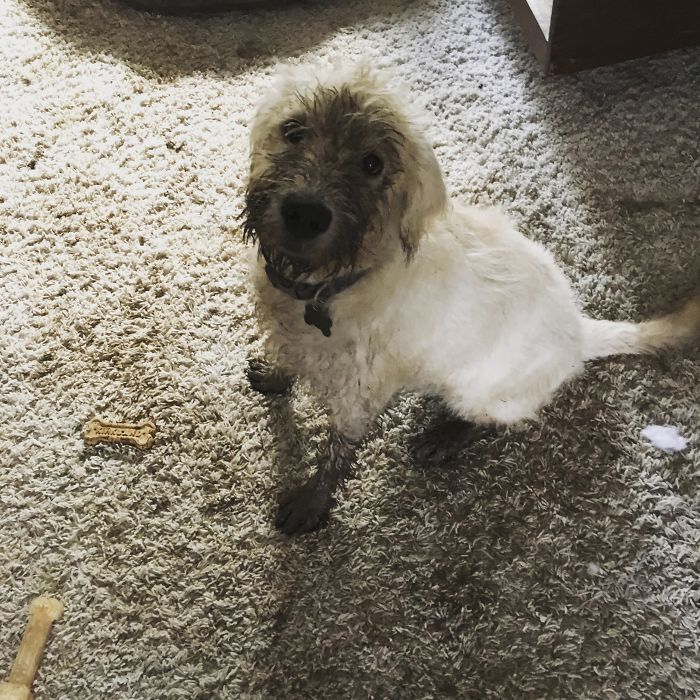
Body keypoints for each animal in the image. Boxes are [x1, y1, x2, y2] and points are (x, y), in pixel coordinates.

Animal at [239, 63, 696, 536]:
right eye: (294, 131)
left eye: (372, 163)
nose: (305, 213)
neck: (328, 285)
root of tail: (580, 332)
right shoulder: (293, 337)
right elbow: (287, 362)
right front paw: (275, 376)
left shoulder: (359, 395)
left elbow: (337, 451)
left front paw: (312, 501)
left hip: (476, 392)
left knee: (497, 423)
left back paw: (446, 437)